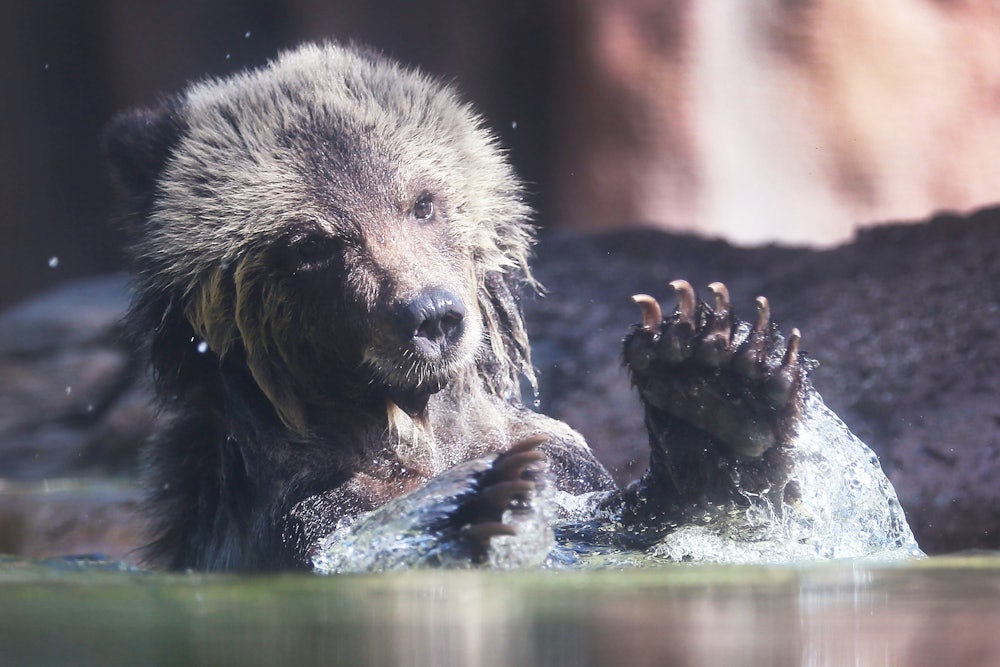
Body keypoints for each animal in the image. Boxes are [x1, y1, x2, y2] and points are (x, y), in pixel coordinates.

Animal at [103, 42, 918, 572]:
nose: (431, 317)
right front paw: (485, 503)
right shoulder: (294, 513)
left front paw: (716, 383)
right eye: (311, 243)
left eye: (422, 201)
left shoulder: (562, 458)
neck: (413, 427)